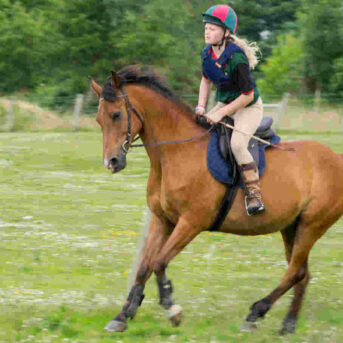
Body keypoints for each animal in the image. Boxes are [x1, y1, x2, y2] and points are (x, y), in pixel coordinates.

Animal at [90, 67, 343, 336]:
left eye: (117, 114)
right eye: (99, 120)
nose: (111, 162)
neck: (177, 152)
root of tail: (336, 158)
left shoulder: (191, 223)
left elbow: (159, 262)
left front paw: (172, 309)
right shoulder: (162, 220)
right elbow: (143, 267)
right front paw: (123, 315)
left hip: (311, 226)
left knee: (294, 271)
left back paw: (255, 312)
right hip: (291, 228)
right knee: (302, 273)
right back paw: (288, 323)